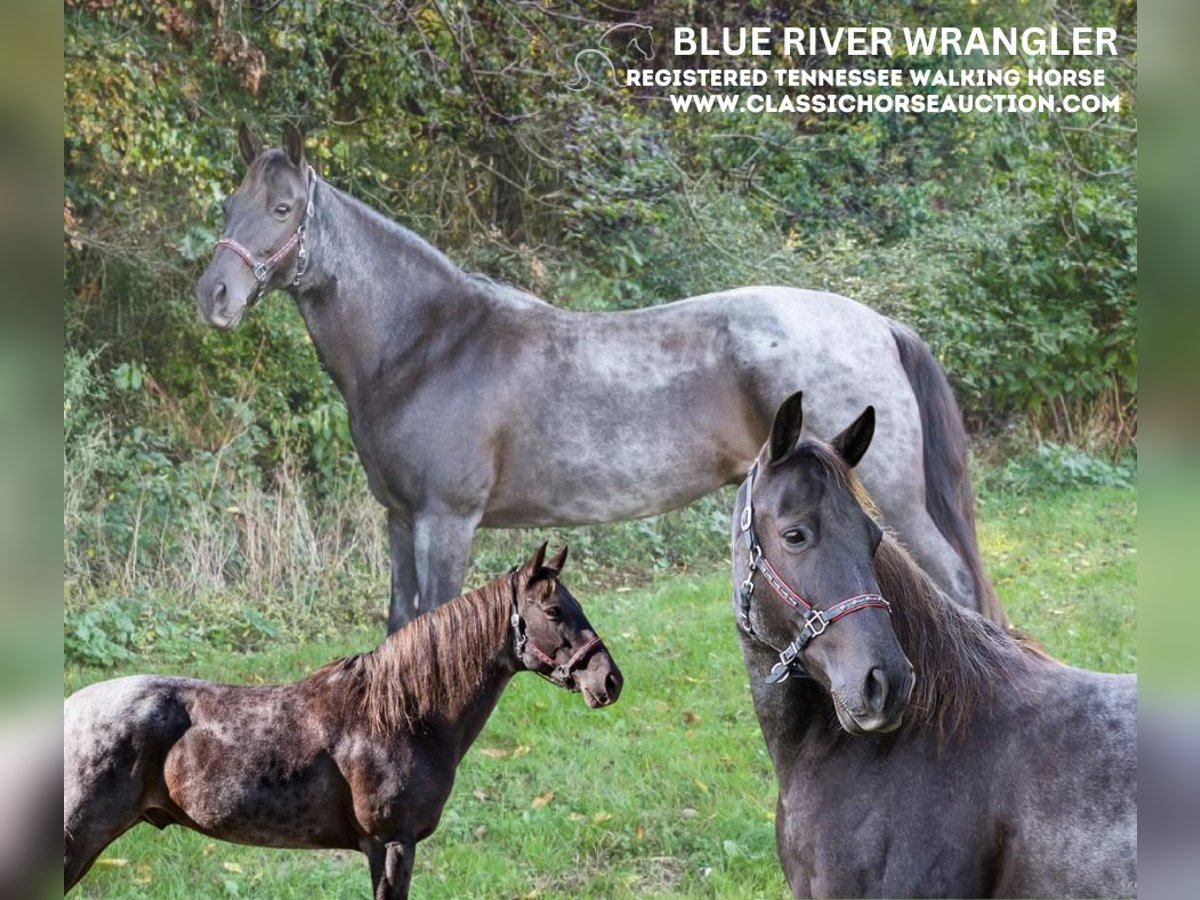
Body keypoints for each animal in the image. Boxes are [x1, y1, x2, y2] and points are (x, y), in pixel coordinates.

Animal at [196, 123, 1003, 633]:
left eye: (283, 208)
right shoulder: (401, 519)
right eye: (230, 205)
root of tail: (877, 324)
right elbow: (401, 625)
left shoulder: (445, 522)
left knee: (956, 584)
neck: (425, 344)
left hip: (893, 495)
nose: (214, 297)